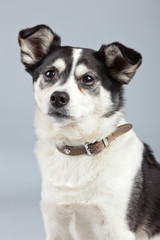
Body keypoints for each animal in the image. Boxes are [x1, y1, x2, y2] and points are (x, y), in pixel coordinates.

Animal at [18, 24, 159, 240]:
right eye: (49, 74)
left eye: (88, 79)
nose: (57, 97)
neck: (79, 149)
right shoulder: (55, 225)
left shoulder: (118, 228)